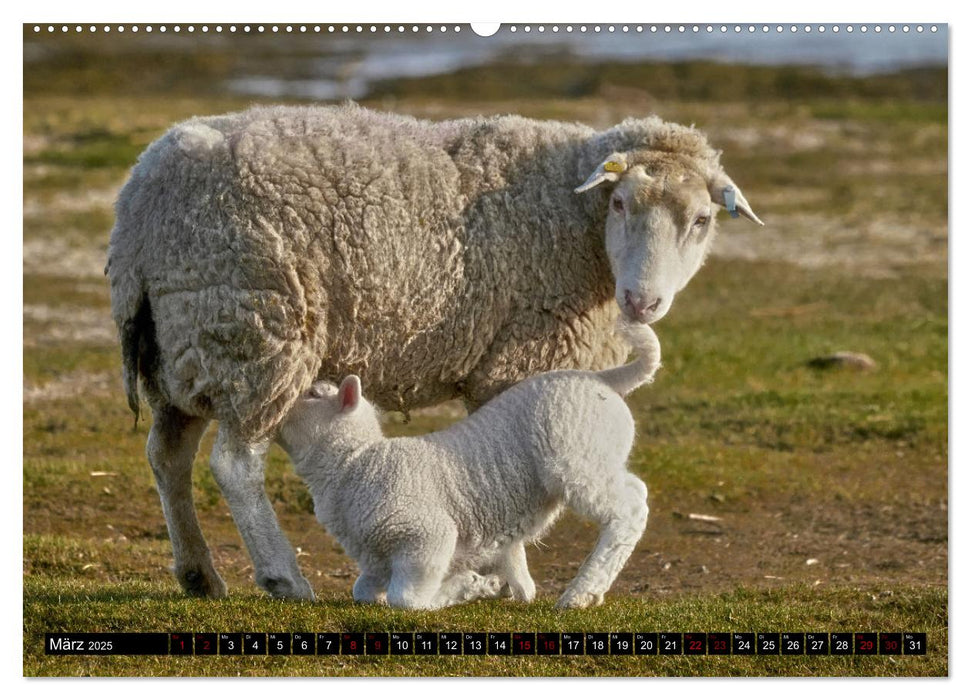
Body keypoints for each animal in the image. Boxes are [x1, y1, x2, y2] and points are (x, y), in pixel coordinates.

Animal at [278, 322, 664, 608]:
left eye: (311, 395)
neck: (353, 465)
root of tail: (602, 379)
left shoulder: (427, 535)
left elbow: (407, 598)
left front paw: (471, 586)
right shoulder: (375, 558)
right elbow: (362, 591)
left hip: (577, 457)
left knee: (629, 509)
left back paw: (581, 593)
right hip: (595, 455)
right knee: (634, 493)